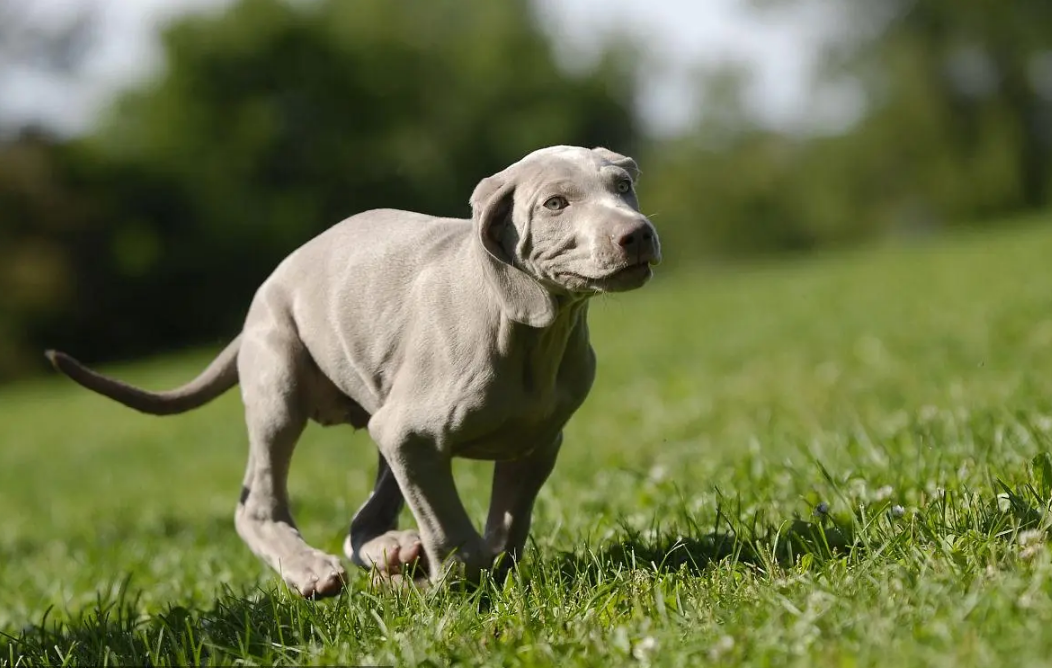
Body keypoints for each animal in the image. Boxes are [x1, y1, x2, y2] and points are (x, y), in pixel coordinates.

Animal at [49, 144, 660, 597]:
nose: (637, 234)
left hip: (383, 417)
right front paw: (449, 586)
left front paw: (461, 574)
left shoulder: (534, 444)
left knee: (361, 521)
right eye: (556, 202)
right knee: (258, 505)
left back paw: (392, 552)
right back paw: (314, 572)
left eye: (622, 186)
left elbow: (507, 529)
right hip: (281, 385)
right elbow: (455, 534)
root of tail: (259, 299)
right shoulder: (411, 434)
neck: (533, 332)